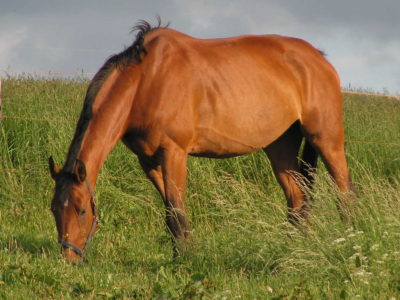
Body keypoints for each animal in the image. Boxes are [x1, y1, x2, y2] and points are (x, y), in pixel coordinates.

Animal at [49, 20, 354, 260]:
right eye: (53, 209)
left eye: (81, 211)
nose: (69, 258)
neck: (146, 81)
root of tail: (318, 58)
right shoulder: (148, 160)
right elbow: (170, 211)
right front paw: (182, 254)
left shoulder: (173, 152)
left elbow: (176, 209)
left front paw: (184, 259)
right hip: (280, 146)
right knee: (297, 199)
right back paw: (290, 251)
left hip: (326, 139)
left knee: (344, 193)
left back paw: (350, 244)